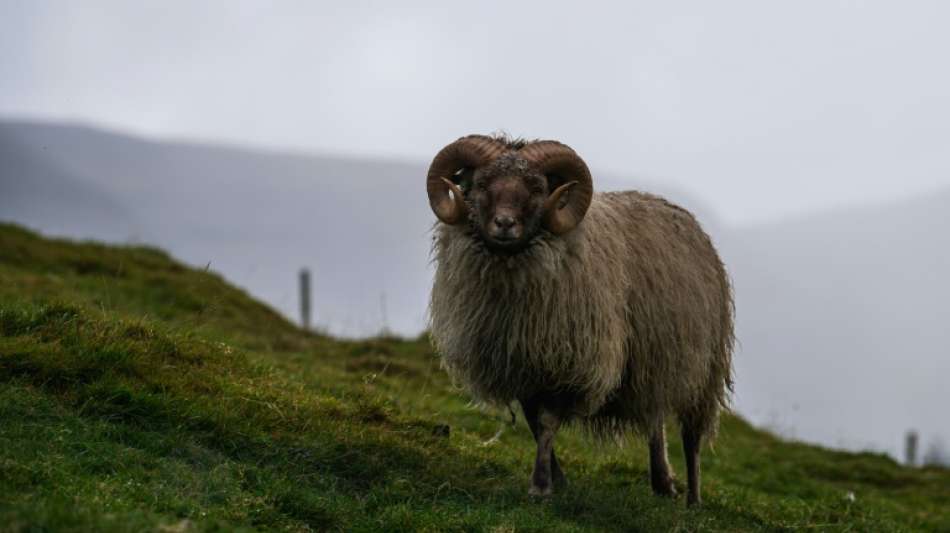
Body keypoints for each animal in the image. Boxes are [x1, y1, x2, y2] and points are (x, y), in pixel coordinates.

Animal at [425, 134, 734, 506]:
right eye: (482, 183)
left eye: (537, 187)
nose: (504, 224)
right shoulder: (524, 364)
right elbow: (534, 423)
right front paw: (557, 480)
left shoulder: (567, 364)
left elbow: (546, 423)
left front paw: (541, 486)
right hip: (652, 362)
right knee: (655, 417)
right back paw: (662, 482)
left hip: (703, 367)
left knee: (691, 437)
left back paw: (693, 499)